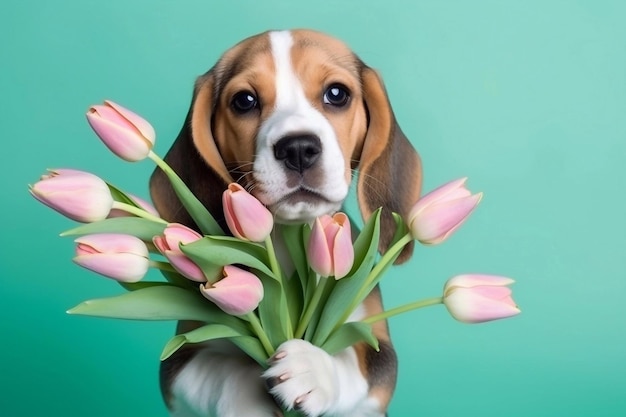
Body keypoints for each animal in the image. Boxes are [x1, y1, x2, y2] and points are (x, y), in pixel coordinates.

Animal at [149, 29, 422, 416]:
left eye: (337, 94)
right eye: (244, 101)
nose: (298, 148)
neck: (286, 244)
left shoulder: (378, 352)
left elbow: (355, 362)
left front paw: (312, 369)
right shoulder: (181, 357)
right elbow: (225, 368)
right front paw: (248, 397)